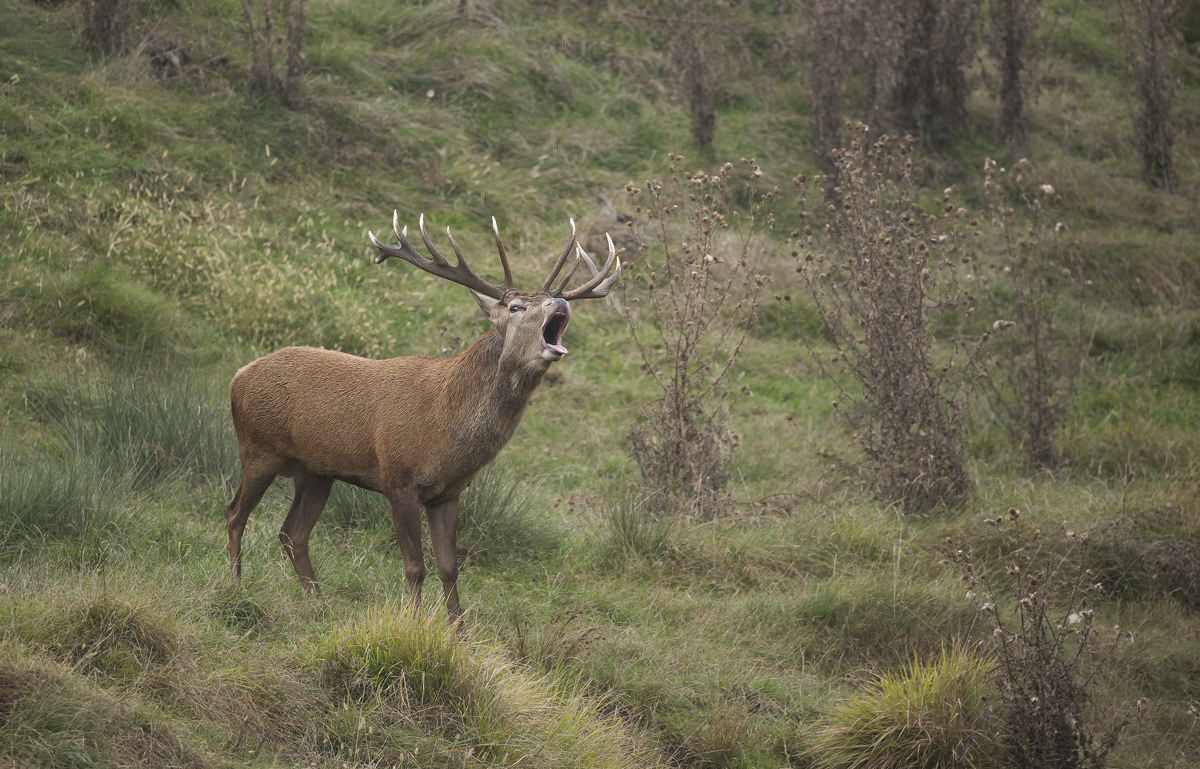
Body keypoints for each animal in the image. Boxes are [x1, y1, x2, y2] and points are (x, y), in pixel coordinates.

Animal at [224, 212, 620, 621]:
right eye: (515, 307)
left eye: (548, 300)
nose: (560, 301)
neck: (443, 428)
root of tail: (238, 377)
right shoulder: (398, 477)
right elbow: (415, 566)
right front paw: (414, 624)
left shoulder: (448, 492)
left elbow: (449, 567)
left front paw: (457, 629)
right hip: (257, 447)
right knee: (235, 513)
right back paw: (235, 587)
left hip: (316, 471)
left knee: (292, 533)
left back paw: (320, 603)